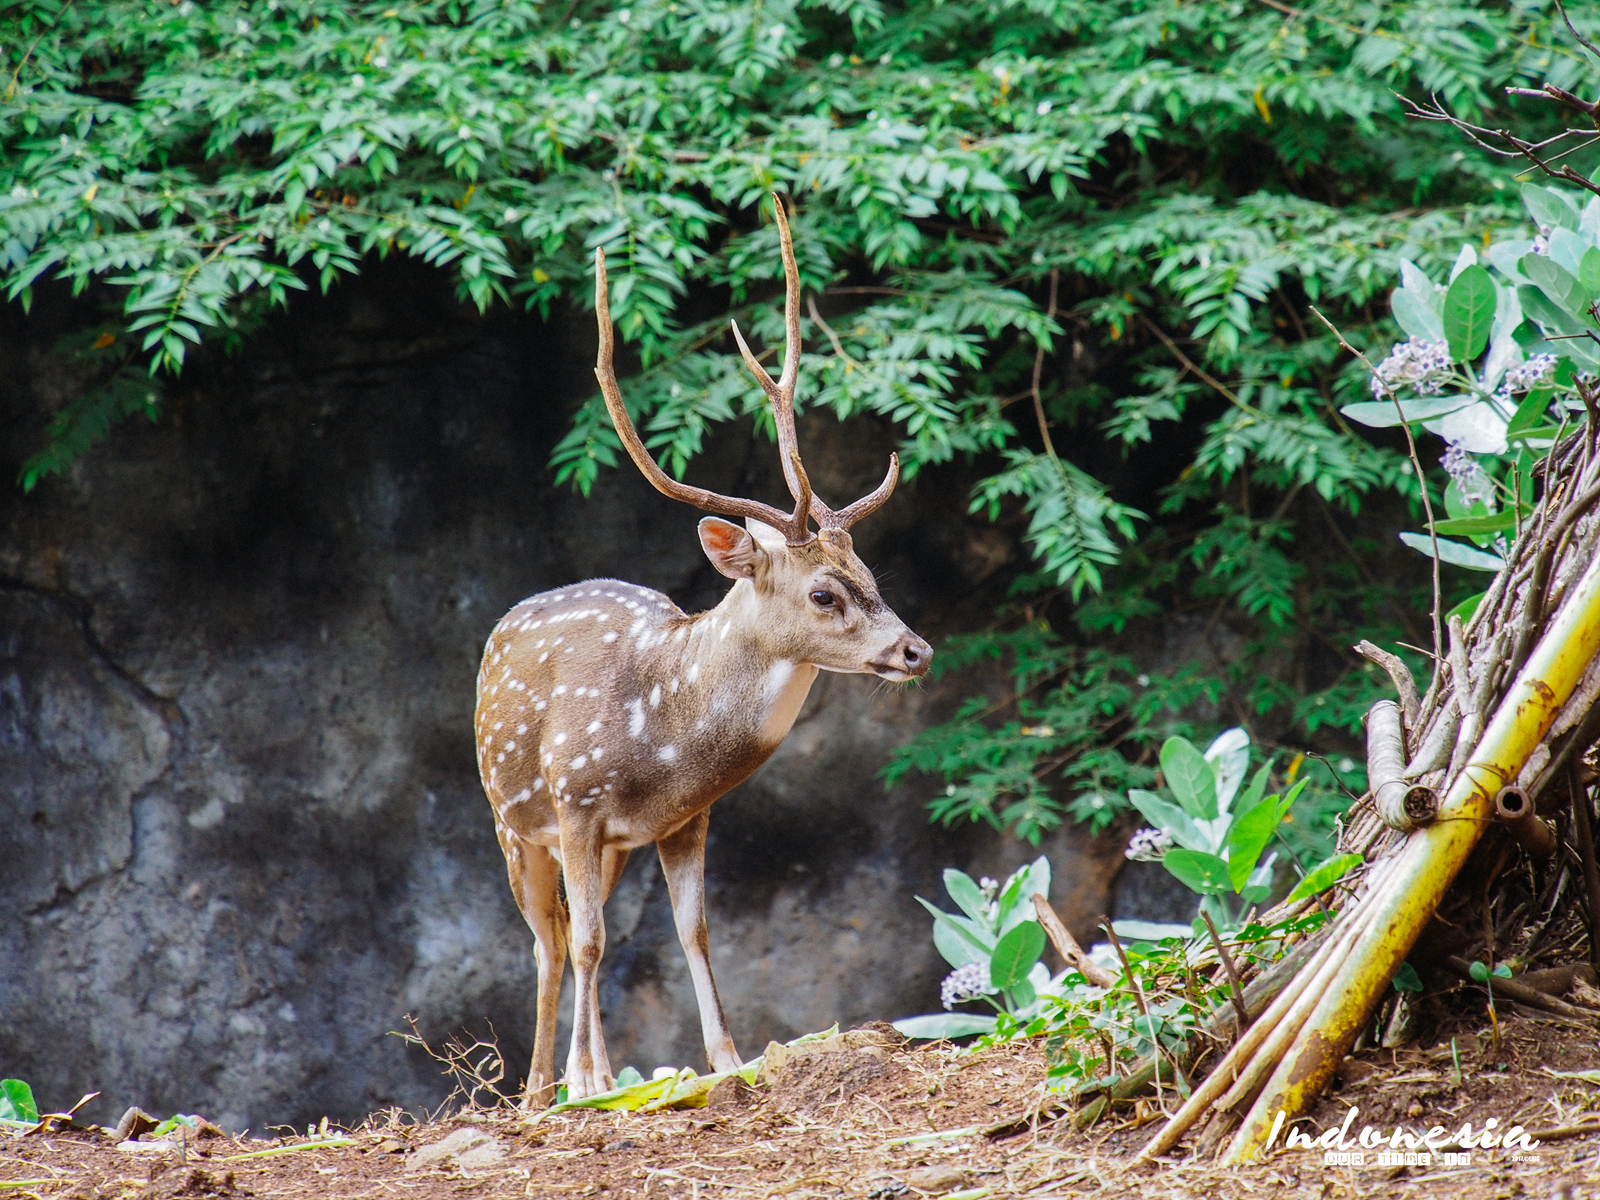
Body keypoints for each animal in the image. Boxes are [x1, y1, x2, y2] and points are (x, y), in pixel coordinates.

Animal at [467, 200, 934, 1107]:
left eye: (869, 573)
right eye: (823, 594)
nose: (914, 650)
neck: (663, 736)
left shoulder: (683, 819)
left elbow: (695, 930)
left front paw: (726, 1060)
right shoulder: (578, 803)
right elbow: (590, 944)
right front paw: (597, 1081)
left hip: (593, 846)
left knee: (570, 931)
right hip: (511, 816)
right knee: (549, 940)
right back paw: (543, 1089)